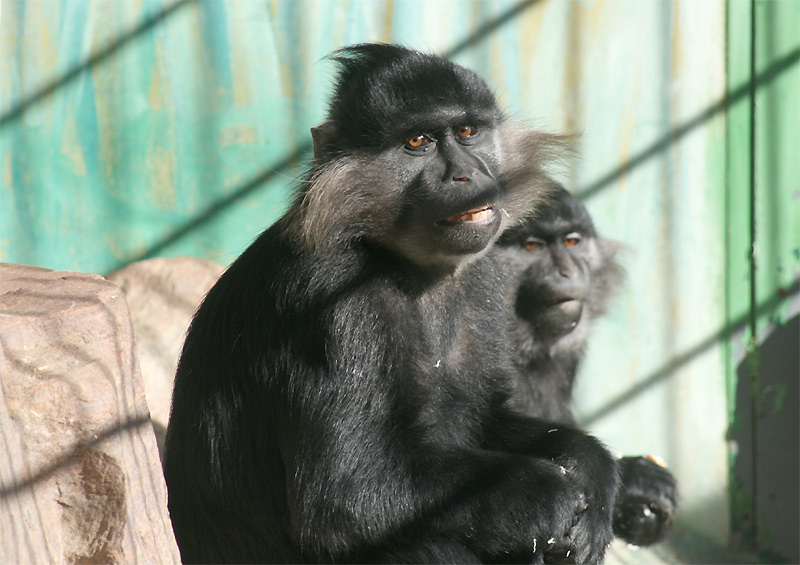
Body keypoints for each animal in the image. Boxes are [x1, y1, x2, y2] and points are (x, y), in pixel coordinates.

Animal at [166, 45, 620, 564]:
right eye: (418, 141)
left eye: (468, 132)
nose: (465, 174)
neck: (405, 264)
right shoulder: (329, 296)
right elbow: (347, 494)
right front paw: (548, 493)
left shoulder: (486, 274)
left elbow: (491, 419)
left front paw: (589, 466)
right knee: (420, 545)